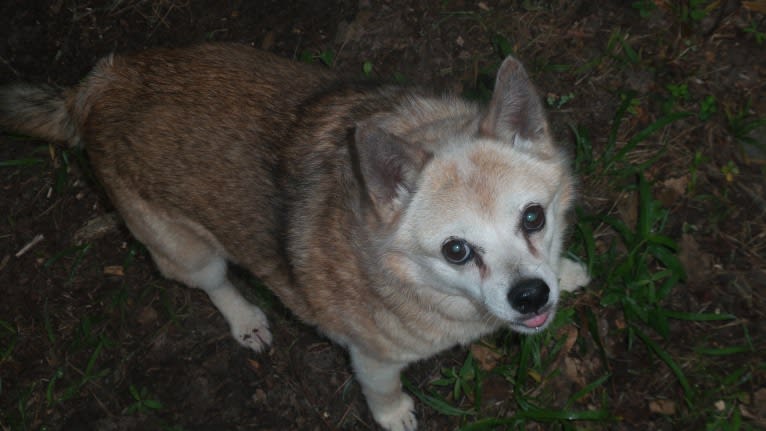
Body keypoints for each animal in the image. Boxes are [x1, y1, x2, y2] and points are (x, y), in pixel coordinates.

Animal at [0, 44, 592, 431]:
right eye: (456, 251)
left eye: (533, 218)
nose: (531, 296)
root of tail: (95, 86)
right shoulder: (372, 358)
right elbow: (383, 391)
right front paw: (394, 415)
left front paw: (564, 272)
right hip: (186, 252)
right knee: (214, 283)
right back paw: (245, 320)